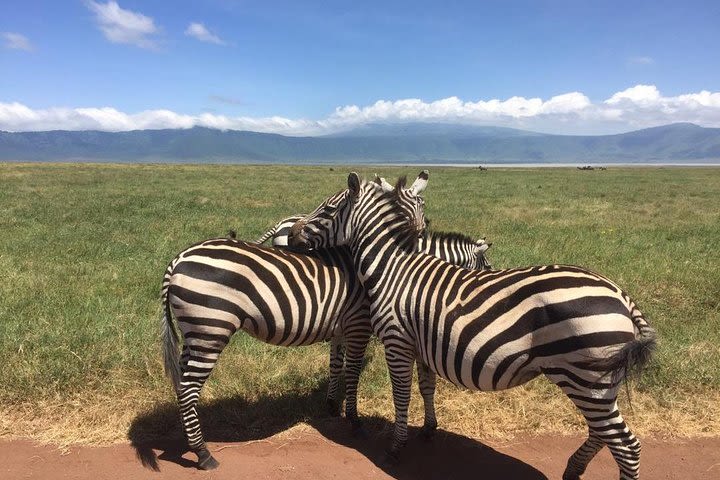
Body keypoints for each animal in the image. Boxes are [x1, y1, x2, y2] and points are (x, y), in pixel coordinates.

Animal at [160, 172, 492, 468]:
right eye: (487, 265)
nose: (295, 237)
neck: (388, 266)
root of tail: (179, 259)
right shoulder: (360, 324)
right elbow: (353, 371)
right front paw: (354, 420)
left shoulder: (342, 327)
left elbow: (336, 365)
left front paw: (333, 406)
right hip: (211, 330)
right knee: (188, 388)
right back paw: (203, 454)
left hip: (194, 333)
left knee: (182, 386)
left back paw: (188, 440)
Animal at [288, 173, 660, 480]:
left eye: (328, 208)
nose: (290, 235)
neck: (392, 269)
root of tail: (621, 295)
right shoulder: (421, 344)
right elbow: (426, 387)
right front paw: (429, 430)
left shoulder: (397, 341)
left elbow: (401, 396)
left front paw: (395, 449)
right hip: (598, 381)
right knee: (602, 432)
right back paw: (572, 469)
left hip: (584, 376)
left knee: (626, 445)